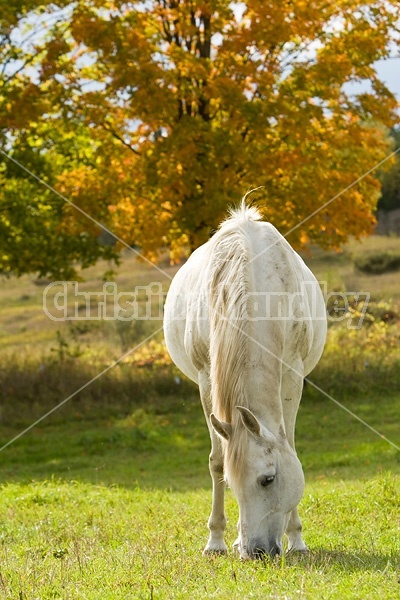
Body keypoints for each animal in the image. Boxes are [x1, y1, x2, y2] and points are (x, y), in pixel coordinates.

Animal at [164, 202, 326, 556]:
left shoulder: (292, 375)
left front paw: (297, 539)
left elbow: (290, 447)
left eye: (268, 479)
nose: (256, 552)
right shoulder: (206, 379)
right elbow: (216, 459)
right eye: (232, 482)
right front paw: (216, 541)